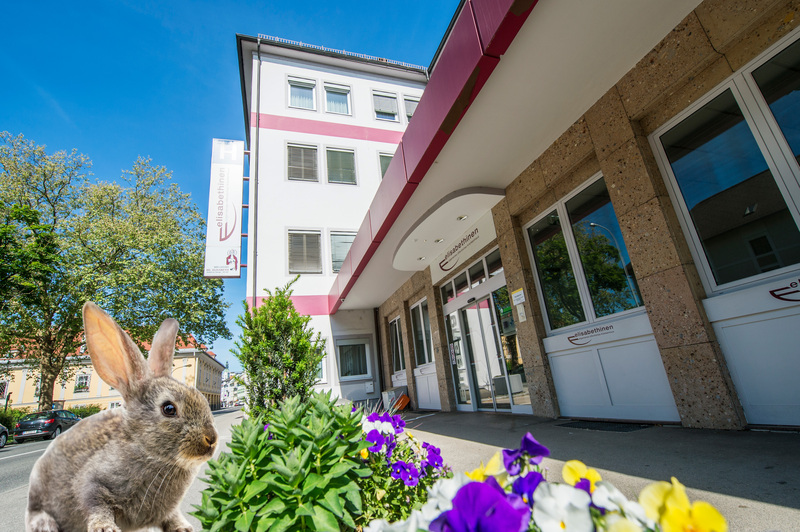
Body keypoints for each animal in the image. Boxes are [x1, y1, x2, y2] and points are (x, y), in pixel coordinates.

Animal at [25, 301, 219, 532]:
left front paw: (183, 528)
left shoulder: (167, 510)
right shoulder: (92, 482)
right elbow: (94, 501)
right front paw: (104, 528)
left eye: (202, 399)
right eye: (169, 409)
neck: (147, 452)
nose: (211, 439)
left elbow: (171, 517)